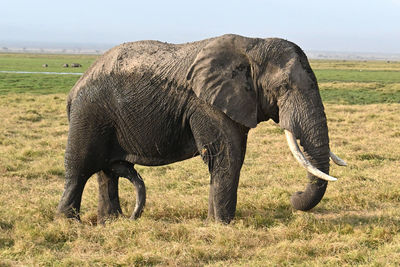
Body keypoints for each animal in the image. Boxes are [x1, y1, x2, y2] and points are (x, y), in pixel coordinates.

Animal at [57, 34, 346, 225]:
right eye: (284, 87)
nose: (293, 196)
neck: (252, 44)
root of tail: (75, 88)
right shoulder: (207, 103)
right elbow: (228, 155)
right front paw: (223, 226)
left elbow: (229, 157)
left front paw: (212, 223)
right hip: (89, 113)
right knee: (79, 169)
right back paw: (70, 223)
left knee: (106, 172)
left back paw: (112, 221)